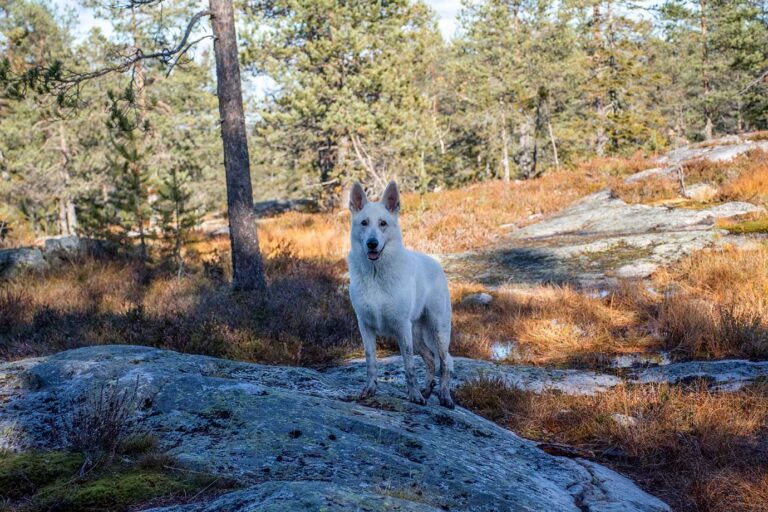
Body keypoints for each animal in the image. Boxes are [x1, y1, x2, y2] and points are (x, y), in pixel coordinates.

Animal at [350, 180, 456, 408]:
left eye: (383, 223)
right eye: (364, 223)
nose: (372, 243)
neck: (376, 274)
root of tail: (436, 263)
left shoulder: (401, 327)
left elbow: (409, 366)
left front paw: (413, 395)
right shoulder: (365, 325)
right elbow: (370, 361)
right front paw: (370, 389)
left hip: (438, 331)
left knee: (444, 364)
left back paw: (444, 396)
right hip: (416, 334)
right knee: (430, 359)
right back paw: (427, 390)